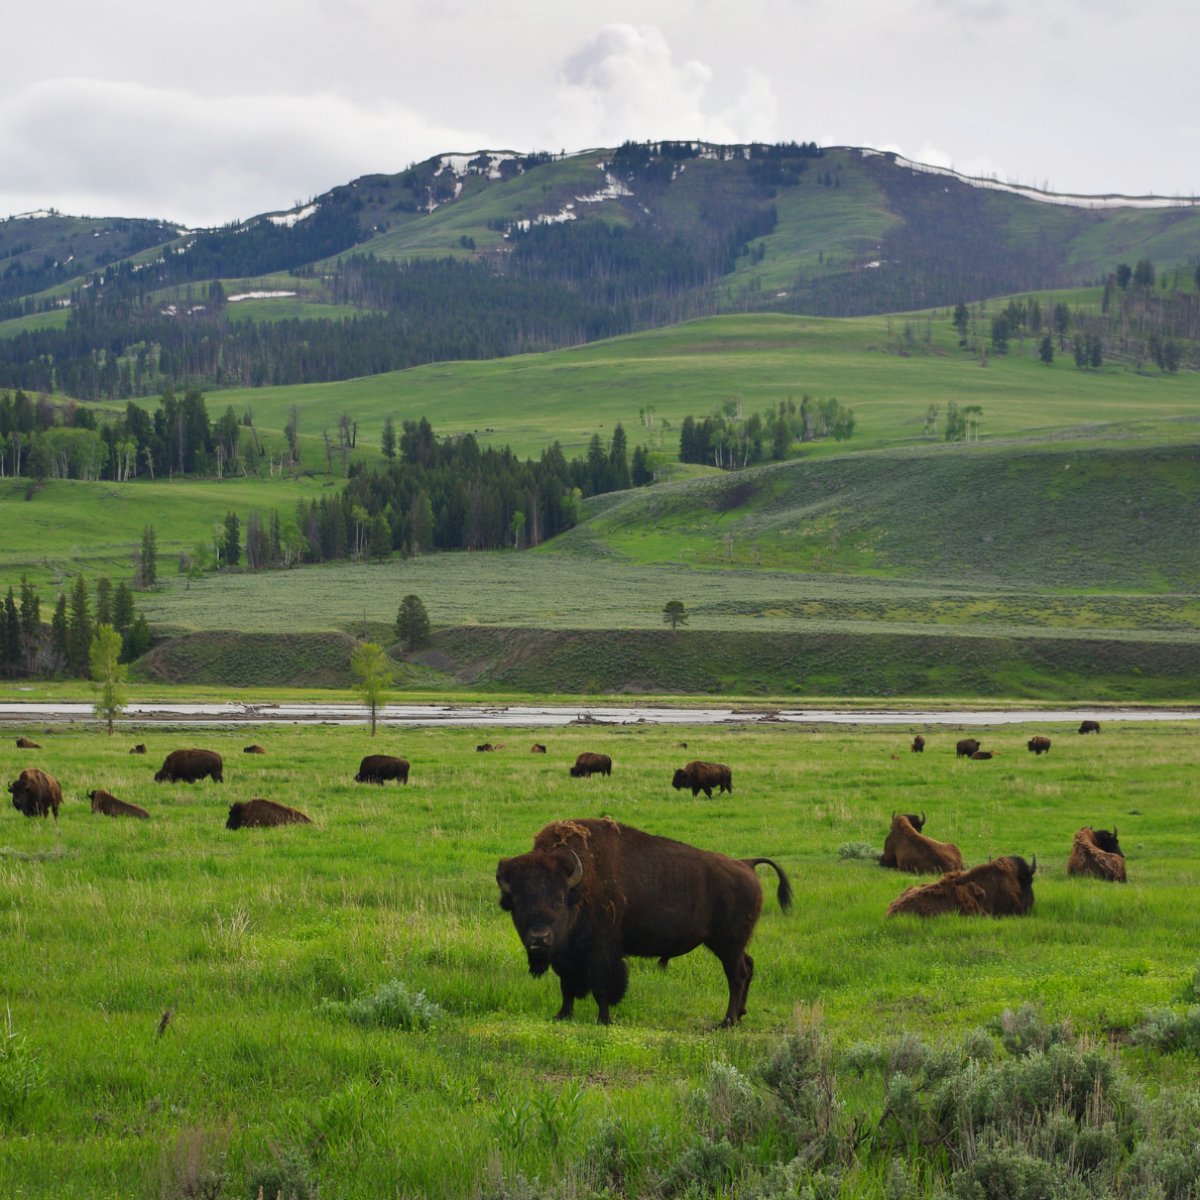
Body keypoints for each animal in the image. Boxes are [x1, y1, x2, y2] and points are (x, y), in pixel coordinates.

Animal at [496, 817, 792, 1026]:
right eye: (517, 902)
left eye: (559, 899)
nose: (539, 938)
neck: (578, 887)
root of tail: (746, 864)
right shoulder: (565, 955)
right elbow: (566, 986)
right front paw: (562, 1015)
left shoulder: (602, 951)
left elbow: (602, 986)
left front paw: (604, 1020)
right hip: (731, 944)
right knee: (748, 966)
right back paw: (740, 1015)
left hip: (727, 944)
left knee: (737, 975)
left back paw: (726, 1022)